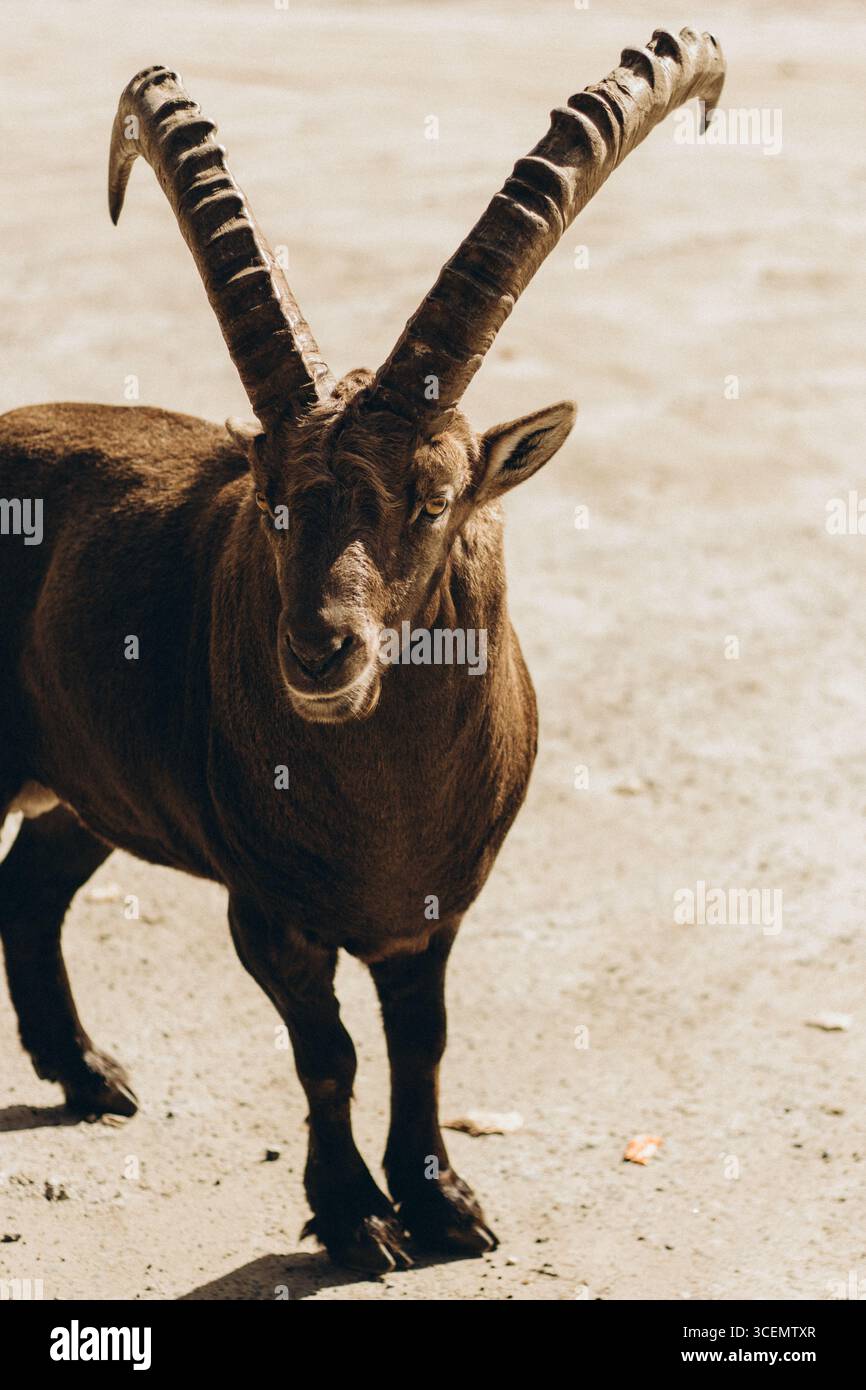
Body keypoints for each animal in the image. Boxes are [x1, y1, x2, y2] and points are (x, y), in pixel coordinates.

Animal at [0, 29, 725, 1271]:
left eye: (434, 499)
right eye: (272, 500)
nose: (317, 654)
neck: (386, 813)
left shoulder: (431, 908)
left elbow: (420, 1042)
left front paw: (444, 1203)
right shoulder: (265, 911)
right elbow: (326, 1052)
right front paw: (351, 1217)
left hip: (92, 786)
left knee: (29, 885)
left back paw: (89, 1075)